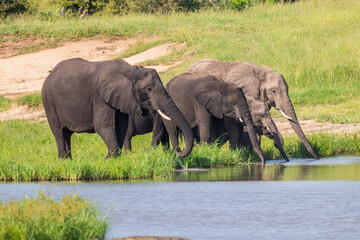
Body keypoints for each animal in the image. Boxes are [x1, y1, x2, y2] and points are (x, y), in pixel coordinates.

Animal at [41, 58, 194, 159]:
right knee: (59, 132)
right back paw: (63, 159)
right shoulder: (99, 96)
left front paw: (114, 157)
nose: (178, 152)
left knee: (66, 134)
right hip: (49, 101)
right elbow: (102, 125)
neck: (130, 71)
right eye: (148, 89)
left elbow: (121, 126)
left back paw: (69, 160)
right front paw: (109, 158)